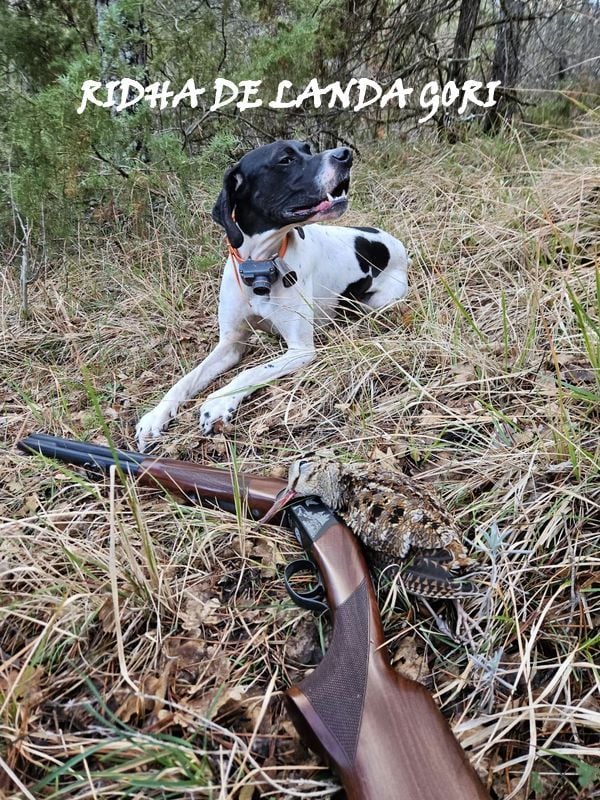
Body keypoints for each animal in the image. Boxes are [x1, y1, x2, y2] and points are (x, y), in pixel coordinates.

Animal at [135, 139, 408, 450]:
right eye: (285, 160)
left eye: (307, 148)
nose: (345, 154)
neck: (260, 266)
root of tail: (395, 242)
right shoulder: (230, 343)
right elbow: (186, 379)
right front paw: (155, 416)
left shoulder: (300, 350)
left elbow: (251, 371)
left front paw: (217, 402)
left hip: (378, 302)